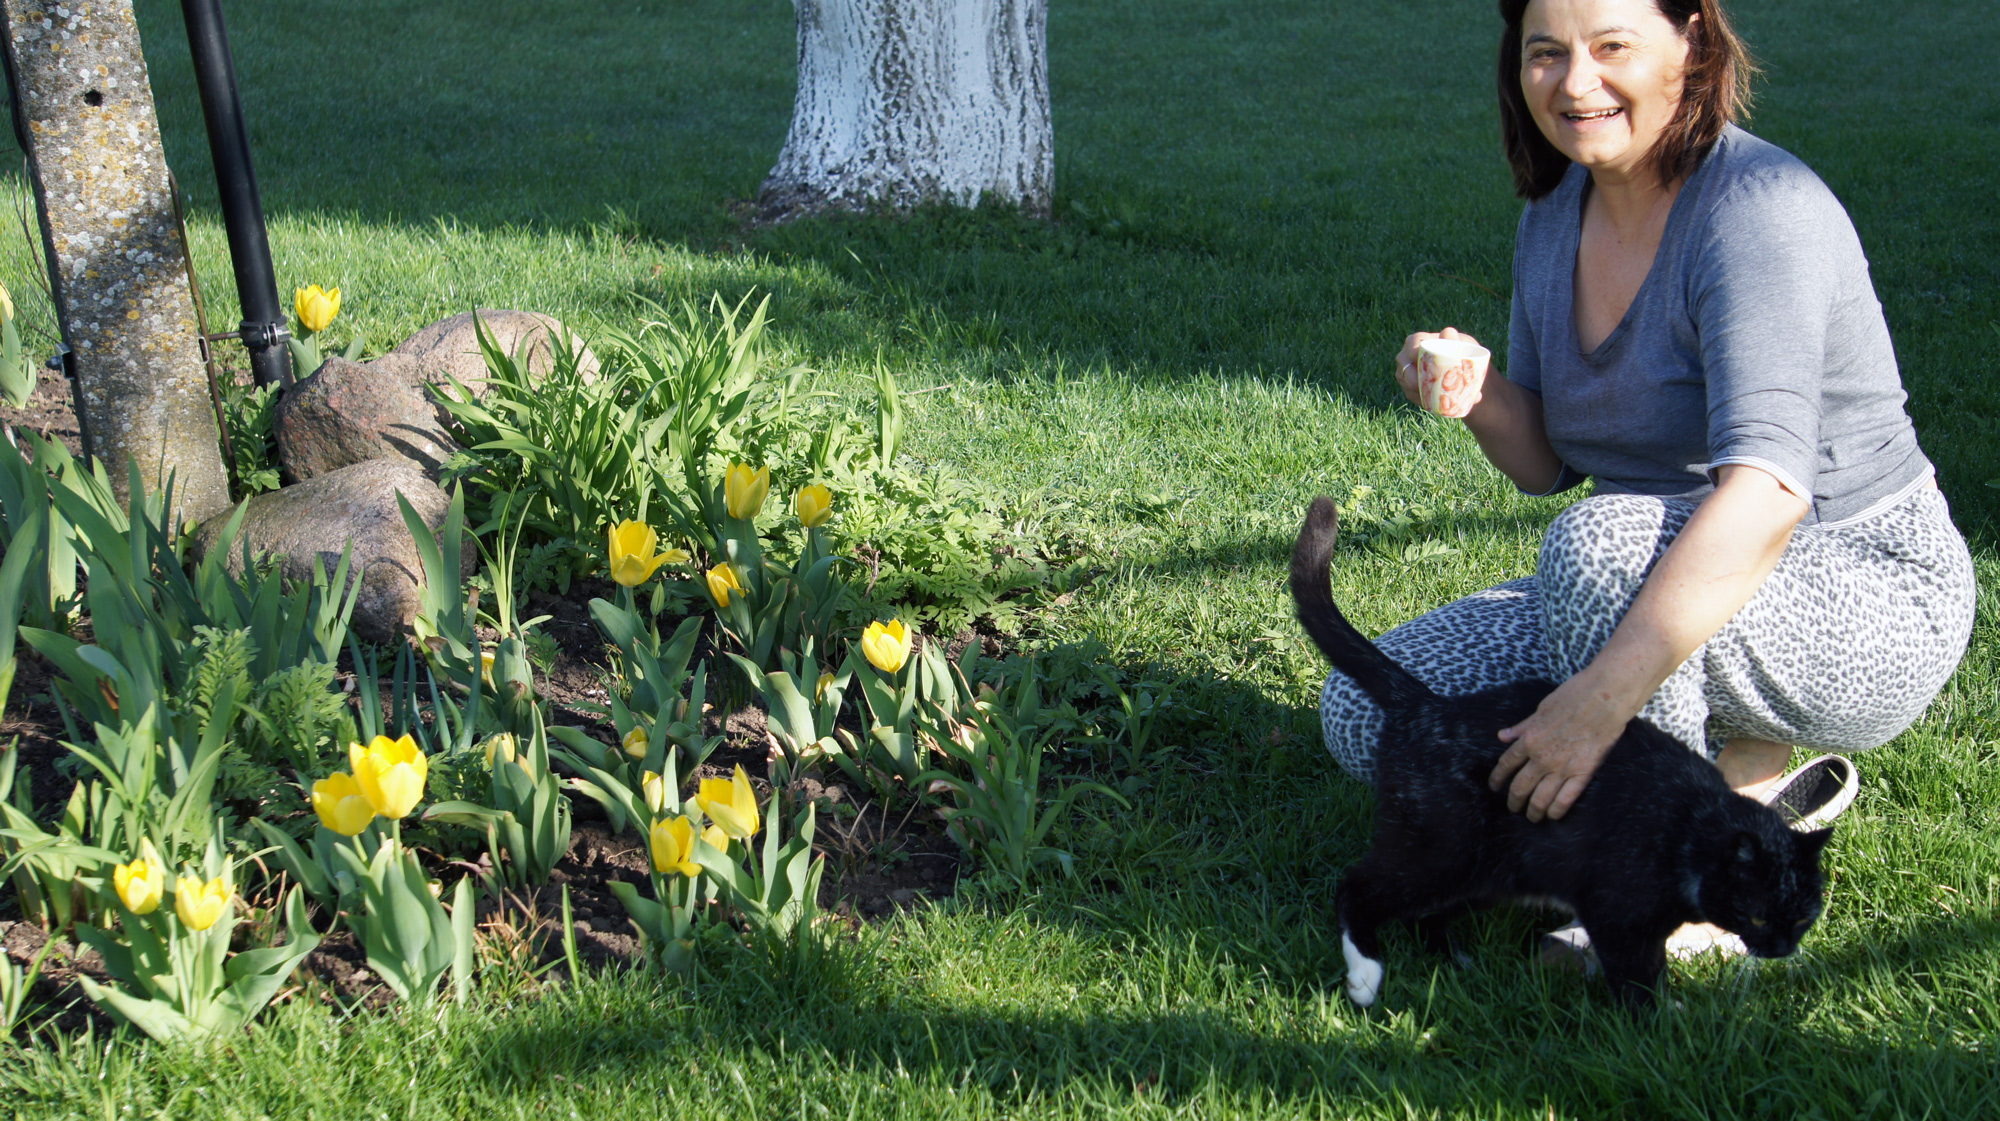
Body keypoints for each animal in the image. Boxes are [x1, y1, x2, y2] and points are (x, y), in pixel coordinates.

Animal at [1290, 496, 1832, 1009]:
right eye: (1756, 914)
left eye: (1804, 916)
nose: (1781, 948)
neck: (1692, 830)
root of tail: (1427, 704)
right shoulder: (1617, 916)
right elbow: (1639, 979)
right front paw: (1659, 1022)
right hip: (1441, 852)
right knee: (1356, 887)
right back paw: (1365, 974)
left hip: (1490, 872)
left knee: (1425, 914)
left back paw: (1455, 963)